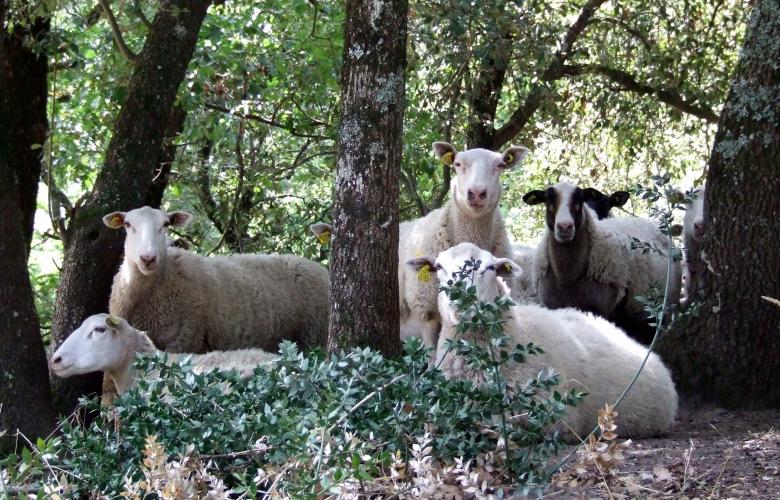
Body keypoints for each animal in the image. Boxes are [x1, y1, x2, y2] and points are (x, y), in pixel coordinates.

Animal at [103, 206, 330, 354]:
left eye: (166, 224)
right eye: (127, 224)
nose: (148, 258)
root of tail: (322, 269)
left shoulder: (184, 341)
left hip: (314, 336)